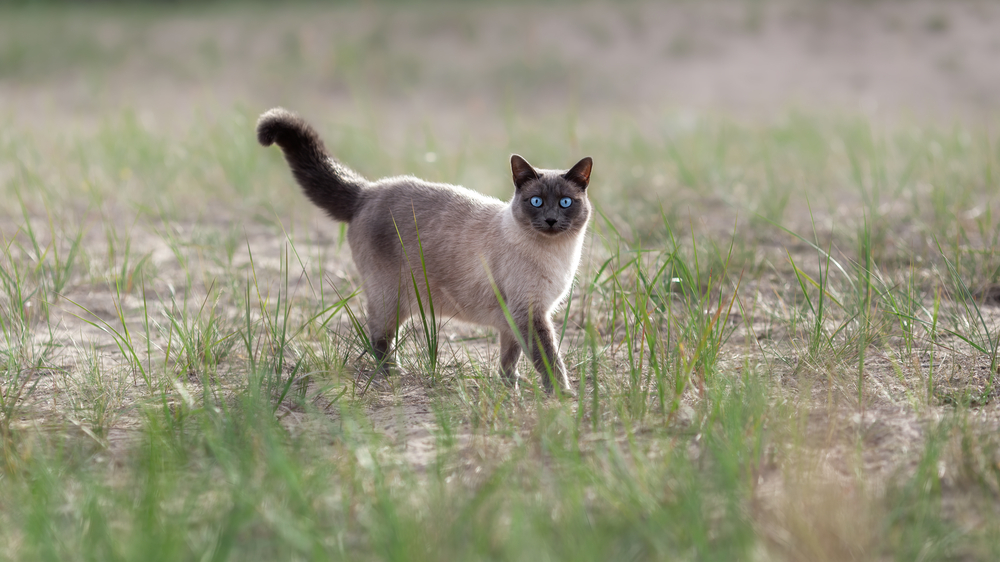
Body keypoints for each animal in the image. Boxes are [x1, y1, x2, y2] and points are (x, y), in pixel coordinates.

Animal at [254, 107, 592, 392]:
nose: (551, 220)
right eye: (536, 201)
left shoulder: (517, 318)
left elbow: (511, 358)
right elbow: (548, 358)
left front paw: (511, 387)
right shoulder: (531, 312)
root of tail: (367, 191)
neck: (557, 255)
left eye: (565, 202)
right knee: (377, 337)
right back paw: (393, 373)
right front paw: (562, 394)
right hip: (391, 298)